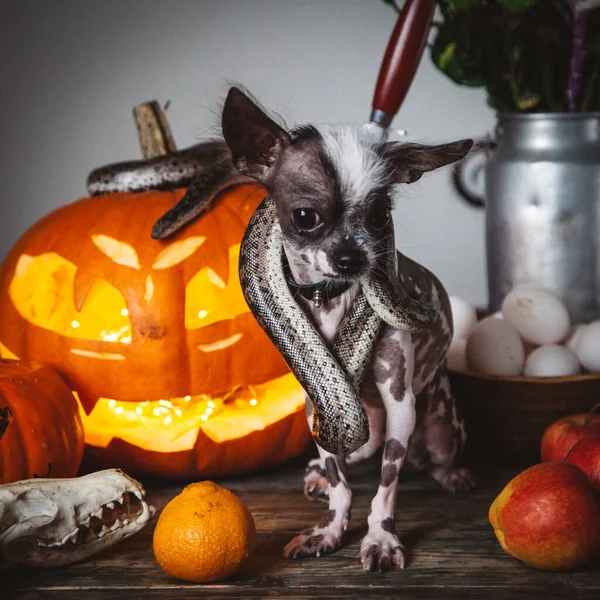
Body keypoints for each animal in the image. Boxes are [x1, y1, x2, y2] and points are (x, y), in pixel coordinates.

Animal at [219, 88, 474, 572]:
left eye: (379, 217)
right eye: (305, 217)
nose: (352, 258)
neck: (331, 300)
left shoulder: (400, 405)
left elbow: (386, 486)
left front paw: (381, 537)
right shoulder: (315, 410)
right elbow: (342, 484)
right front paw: (330, 529)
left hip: (436, 426)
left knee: (432, 457)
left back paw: (453, 473)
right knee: (354, 456)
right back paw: (320, 474)